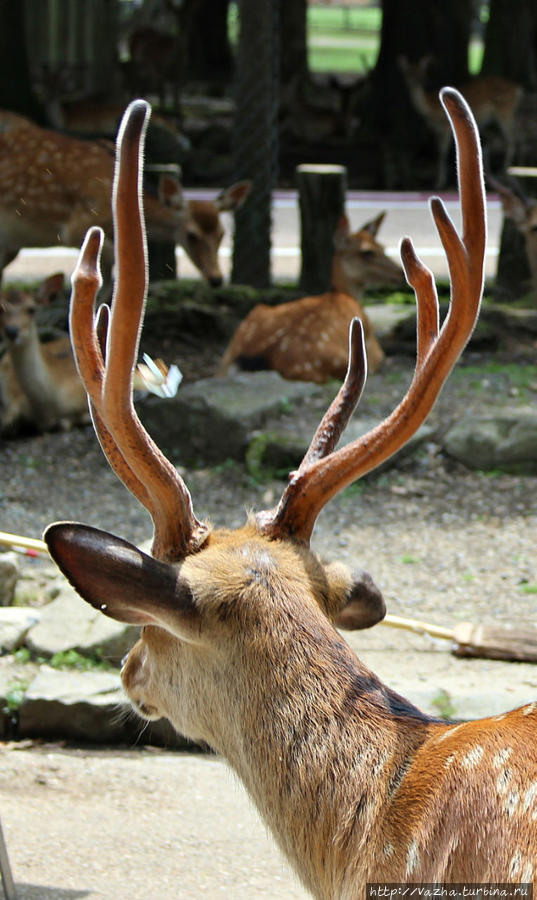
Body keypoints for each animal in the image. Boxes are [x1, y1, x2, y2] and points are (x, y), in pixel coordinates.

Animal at [219, 212, 402, 384]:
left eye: (382, 247)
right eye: (367, 252)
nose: (400, 272)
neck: (344, 293)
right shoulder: (374, 348)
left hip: (244, 329)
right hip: (333, 363)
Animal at [398, 56, 520, 190]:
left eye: (422, 72)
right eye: (408, 73)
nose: (418, 82)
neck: (429, 109)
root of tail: (518, 89)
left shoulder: (445, 126)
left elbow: (442, 151)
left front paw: (440, 182)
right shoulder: (436, 130)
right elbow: (438, 151)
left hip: (505, 112)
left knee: (512, 140)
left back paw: (505, 173)